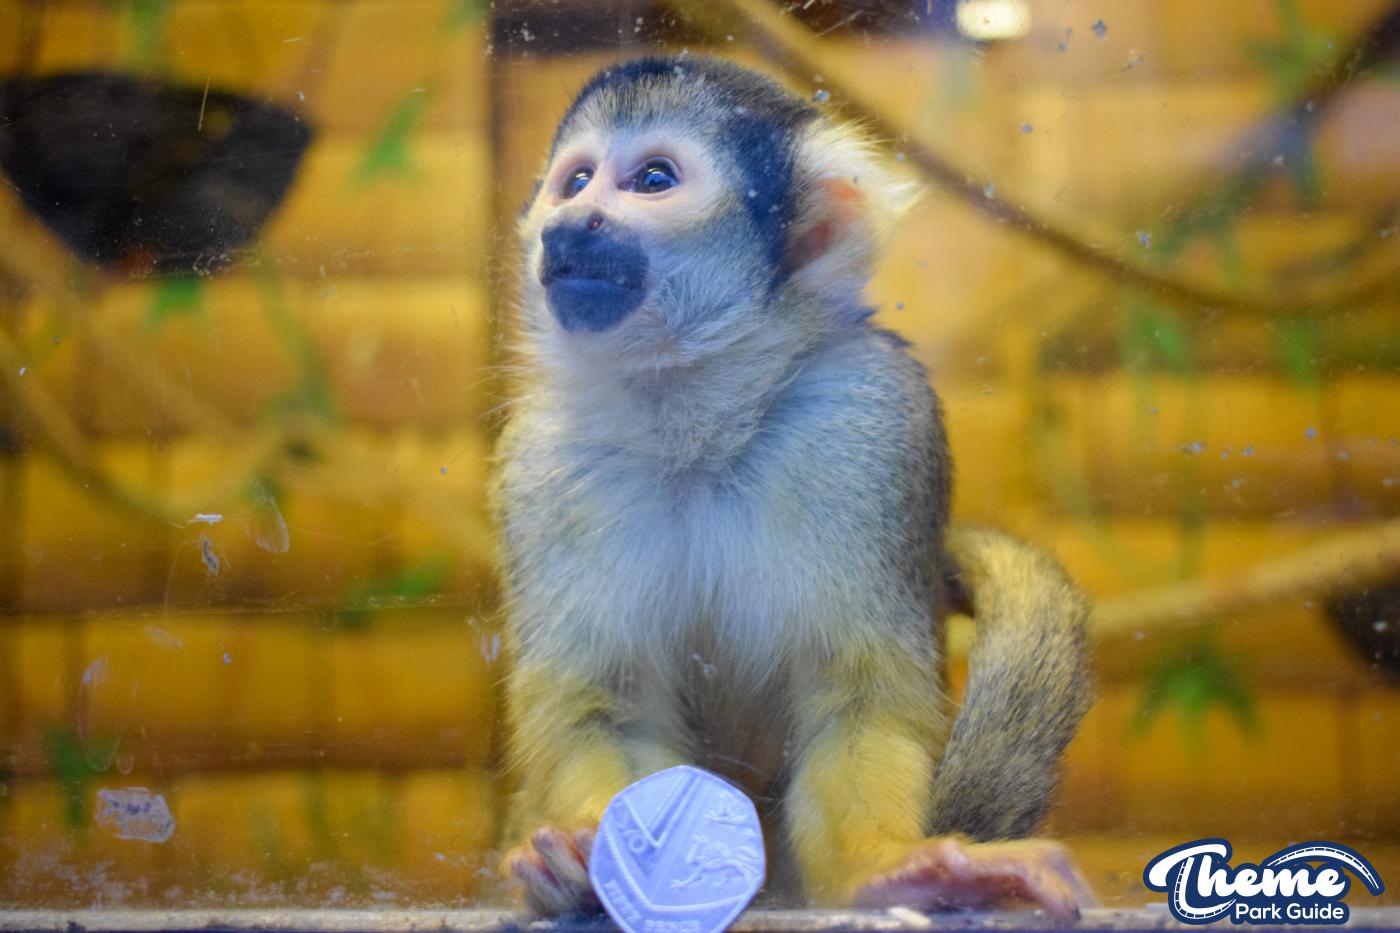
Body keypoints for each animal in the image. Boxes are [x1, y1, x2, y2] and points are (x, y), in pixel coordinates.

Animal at [490, 56, 1094, 920]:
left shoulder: (872, 415)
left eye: (652, 178)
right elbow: (606, 706)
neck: (697, 422)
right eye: (574, 181)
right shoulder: (540, 467)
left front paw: (891, 869)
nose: (572, 223)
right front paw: (582, 863)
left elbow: (856, 694)